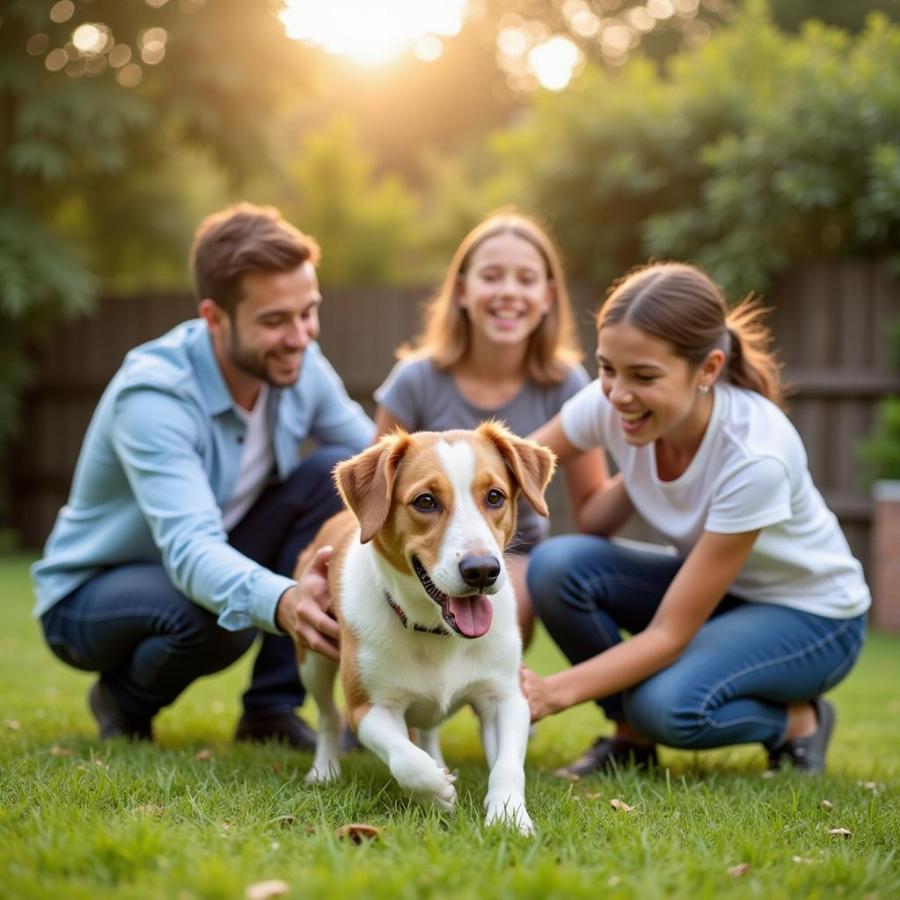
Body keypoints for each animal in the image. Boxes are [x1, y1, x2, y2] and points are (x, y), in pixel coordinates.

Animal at [296, 424, 556, 836]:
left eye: (495, 496)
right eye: (425, 501)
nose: (482, 570)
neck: (438, 632)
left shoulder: (506, 697)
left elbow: (508, 767)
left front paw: (510, 816)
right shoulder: (369, 708)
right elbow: (405, 758)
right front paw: (436, 789)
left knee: (430, 728)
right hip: (313, 659)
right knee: (327, 717)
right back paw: (324, 769)